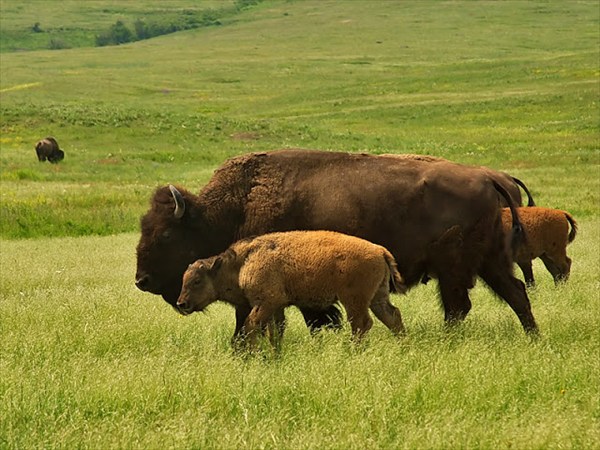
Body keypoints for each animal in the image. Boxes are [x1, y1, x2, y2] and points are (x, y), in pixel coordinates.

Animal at [136, 149, 540, 336]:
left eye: (166, 234)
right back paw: (532, 338)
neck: (237, 204)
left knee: (460, 305)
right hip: (489, 261)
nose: (142, 280)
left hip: (455, 267)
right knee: (514, 293)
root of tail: (489, 177)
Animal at [176, 230, 406, 350]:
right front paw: (275, 354)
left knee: (361, 324)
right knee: (391, 316)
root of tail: (379, 250)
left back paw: (351, 351)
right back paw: (403, 346)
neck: (242, 263)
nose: (181, 303)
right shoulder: (277, 307)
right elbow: (275, 331)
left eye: (197, 280)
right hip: (377, 297)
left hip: (353, 300)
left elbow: (251, 325)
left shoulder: (266, 303)